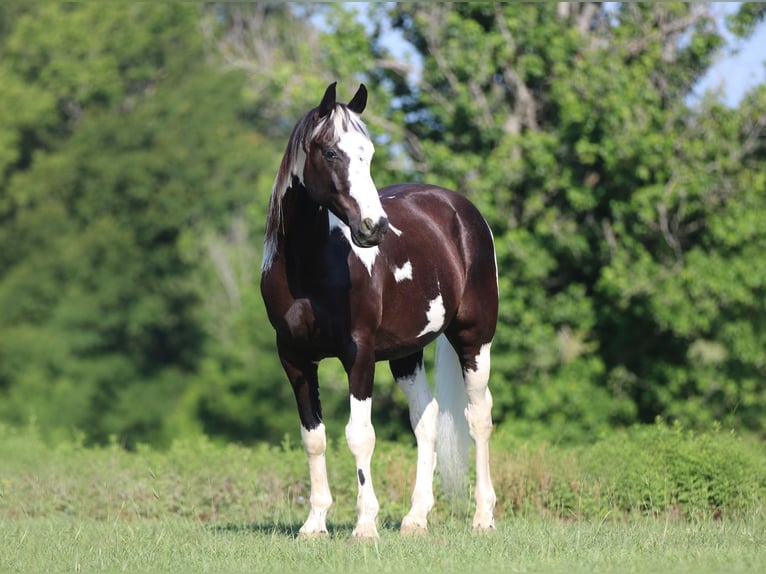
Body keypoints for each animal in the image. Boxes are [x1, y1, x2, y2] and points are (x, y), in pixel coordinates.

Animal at [260, 82, 498, 538]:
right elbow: (313, 437)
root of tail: (460, 209)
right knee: (426, 418)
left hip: (474, 340)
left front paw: (365, 524)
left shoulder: (359, 354)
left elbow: (360, 435)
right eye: (331, 152)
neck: (309, 266)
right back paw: (416, 517)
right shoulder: (294, 358)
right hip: (407, 352)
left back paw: (483, 516)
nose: (375, 228)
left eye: (368, 152)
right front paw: (315, 523)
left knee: (478, 417)